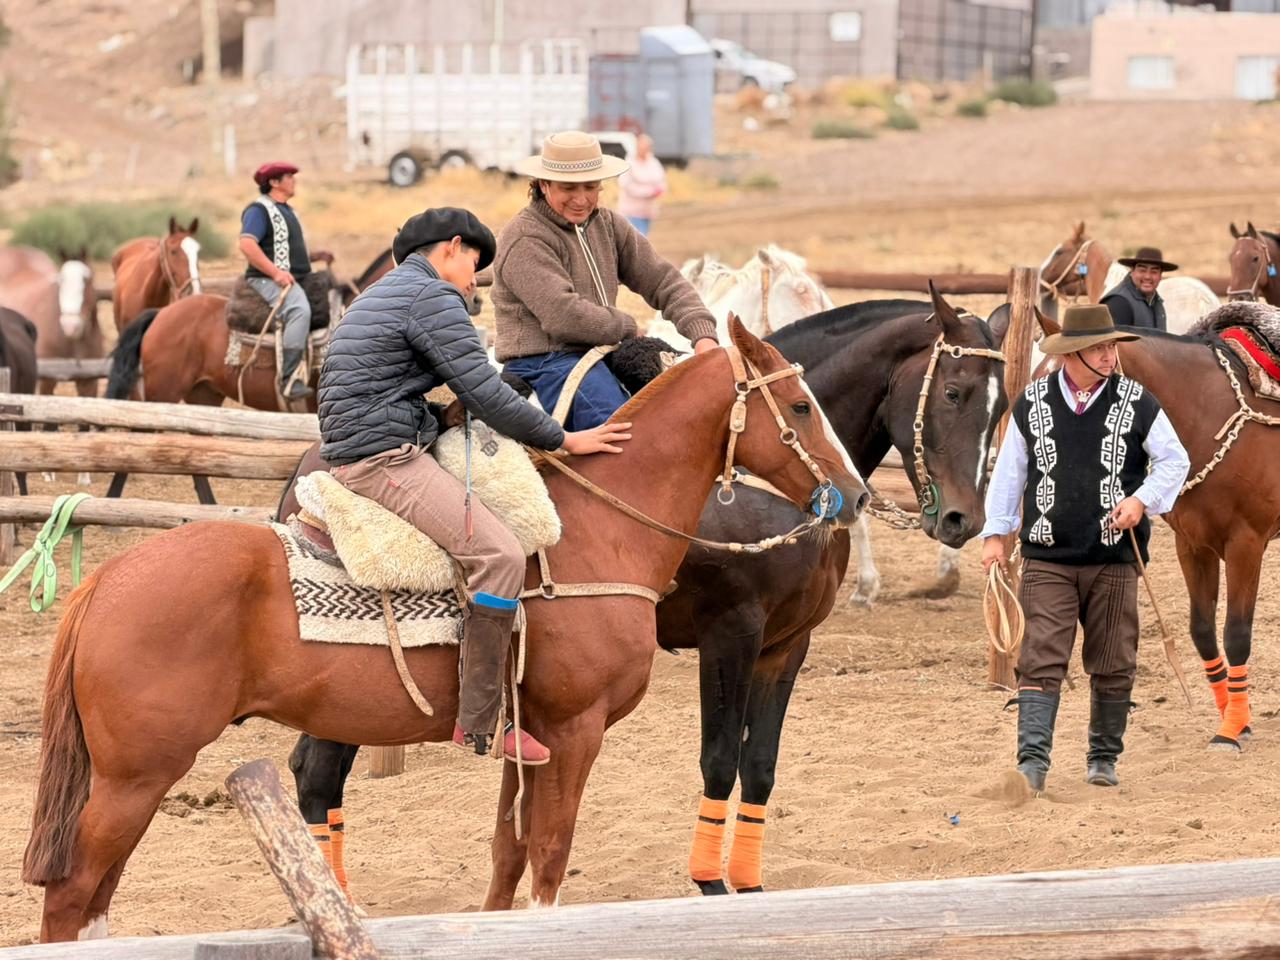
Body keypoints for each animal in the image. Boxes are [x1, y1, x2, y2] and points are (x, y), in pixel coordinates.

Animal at [22, 319, 868, 941]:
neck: (597, 531)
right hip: (135, 777)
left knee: (96, 899)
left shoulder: (532, 739)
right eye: (799, 407)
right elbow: (550, 860)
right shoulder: (580, 729)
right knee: (72, 894)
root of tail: (105, 583)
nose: (855, 494)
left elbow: (507, 855)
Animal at [283, 286, 1008, 899]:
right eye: (954, 392)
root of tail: (312, 464)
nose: (961, 519)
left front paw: (747, 884)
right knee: (318, 776)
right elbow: (719, 757)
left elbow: (760, 764)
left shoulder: (787, 645)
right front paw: (709, 882)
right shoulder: (731, 633)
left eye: (1002, 406)